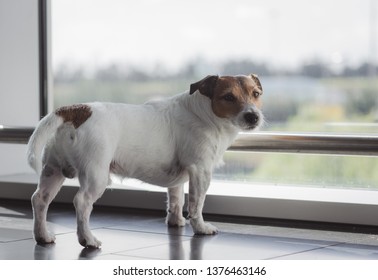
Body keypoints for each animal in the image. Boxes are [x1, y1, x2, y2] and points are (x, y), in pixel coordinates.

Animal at [27, 74, 262, 247]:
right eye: (228, 97)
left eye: (256, 94)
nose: (253, 117)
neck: (203, 113)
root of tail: (75, 110)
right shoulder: (201, 171)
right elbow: (196, 204)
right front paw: (201, 228)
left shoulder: (179, 179)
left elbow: (176, 200)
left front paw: (176, 222)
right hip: (96, 176)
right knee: (82, 202)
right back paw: (88, 239)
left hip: (53, 170)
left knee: (39, 199)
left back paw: (42, 235)